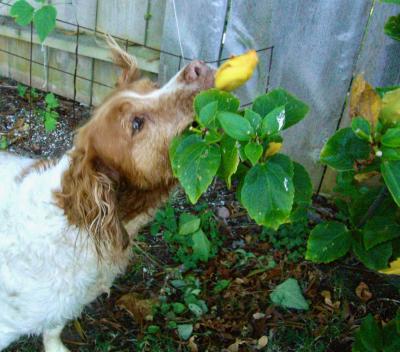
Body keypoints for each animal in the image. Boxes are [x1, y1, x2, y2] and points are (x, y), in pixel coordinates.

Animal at [0, 37, 216, 350]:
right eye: (137, 123)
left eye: (153, 85)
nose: (197, 67)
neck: (76, 224)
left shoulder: (64, 306)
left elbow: (53, 328)